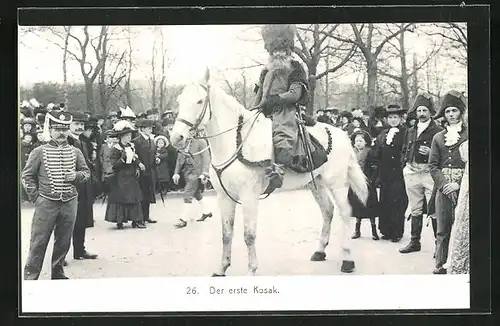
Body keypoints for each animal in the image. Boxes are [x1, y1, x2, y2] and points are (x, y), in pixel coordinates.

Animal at [170, 68, 370, 276]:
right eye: (179, 100)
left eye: (200, 101)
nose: (176, 137)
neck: (235, 142)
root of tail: (343, 134)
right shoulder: (224, 197)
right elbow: (226, 234)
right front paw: (222, 268)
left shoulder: (249, 197)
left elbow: (249, 235)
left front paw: (251, 270)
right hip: (317, 184)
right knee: (328, 211)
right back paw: (320, 251)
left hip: (337, 184)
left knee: (345, 213)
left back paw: (348, 259)